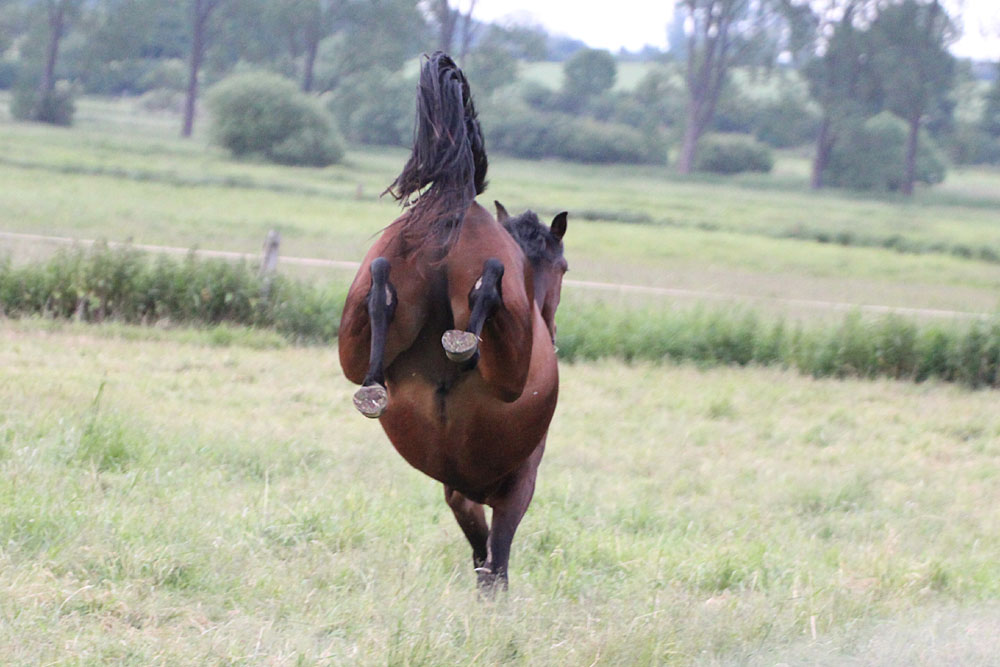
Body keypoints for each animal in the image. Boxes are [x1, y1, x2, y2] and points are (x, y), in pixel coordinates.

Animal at [338, 54, 568, 592]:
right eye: (564, 268)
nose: (552, 326)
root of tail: (457, 202)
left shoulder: (457, 493)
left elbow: (482, 555)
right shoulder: (517, 487)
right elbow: (494, 563)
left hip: (357, 328)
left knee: (379, 295)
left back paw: (378, 376)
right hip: (508, 366)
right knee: (490, 286)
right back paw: (465, 337)